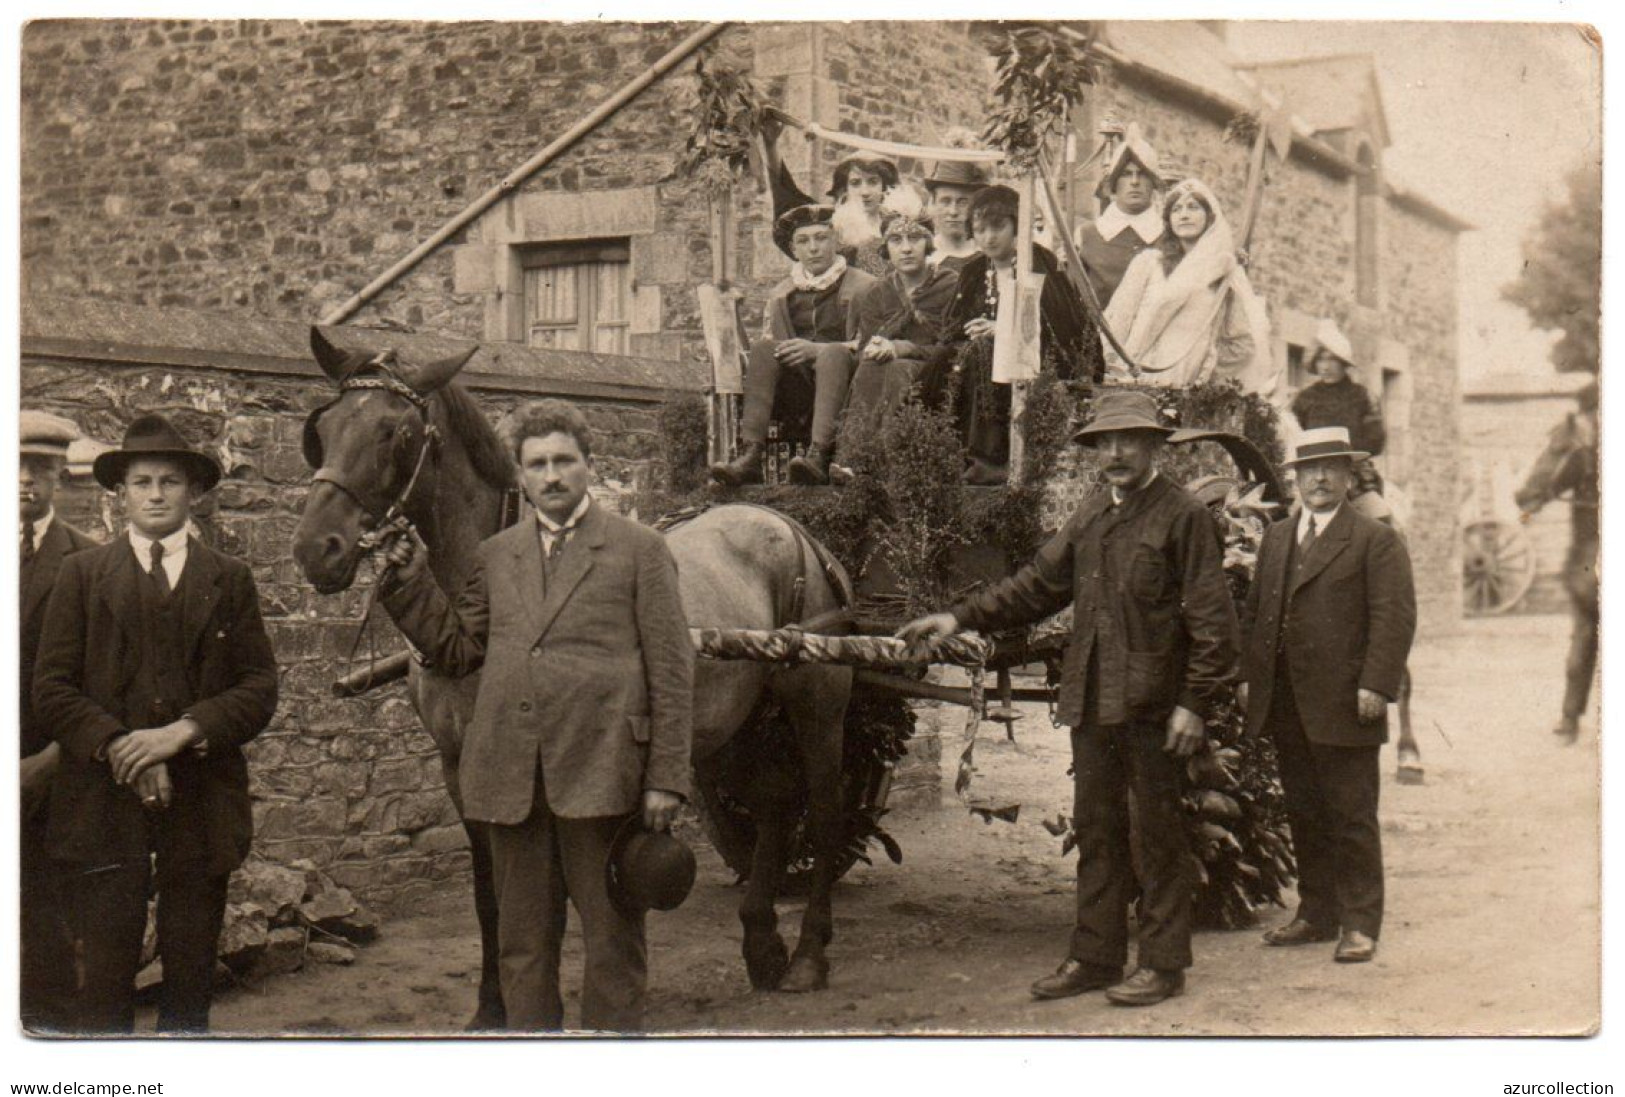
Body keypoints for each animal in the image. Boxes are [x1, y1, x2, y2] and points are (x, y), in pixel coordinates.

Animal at [290, 326, 851, 1014]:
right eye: (323, 427)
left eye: (395, 433)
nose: (316, 548)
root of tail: (789, 525)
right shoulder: (462, 765)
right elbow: (493, 892)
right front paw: (494, 1005)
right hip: (734, 719)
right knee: (773, 802)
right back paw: (761, 941)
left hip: (816, 704)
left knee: (823, 808)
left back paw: (808, 953)